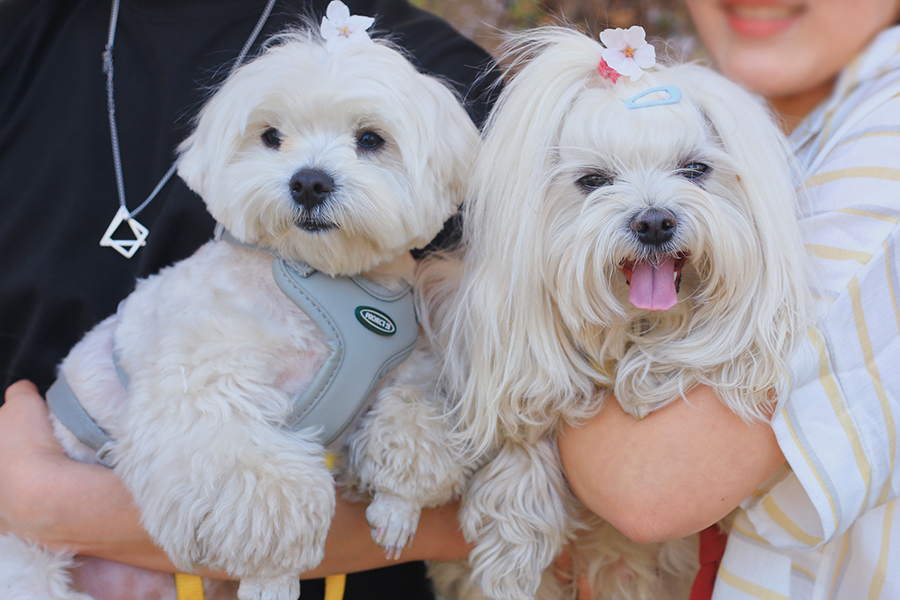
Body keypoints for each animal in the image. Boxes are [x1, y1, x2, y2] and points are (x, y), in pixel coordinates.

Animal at [0, 18, 478, 600]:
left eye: (370, 139)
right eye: (271, 136)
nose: (309, 181)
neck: (326, 279)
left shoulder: (410, 370)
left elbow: (409, 424)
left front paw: (397, 506)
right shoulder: (206, 397)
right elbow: (264, 488)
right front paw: (274, 575)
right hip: (29, 565)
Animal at [424, 27, 816, 600]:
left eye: (695, 169)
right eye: (592, 180)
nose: (654, 222)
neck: (634, 331)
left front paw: (650, 376)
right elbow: (527, 418)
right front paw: (514, 541)